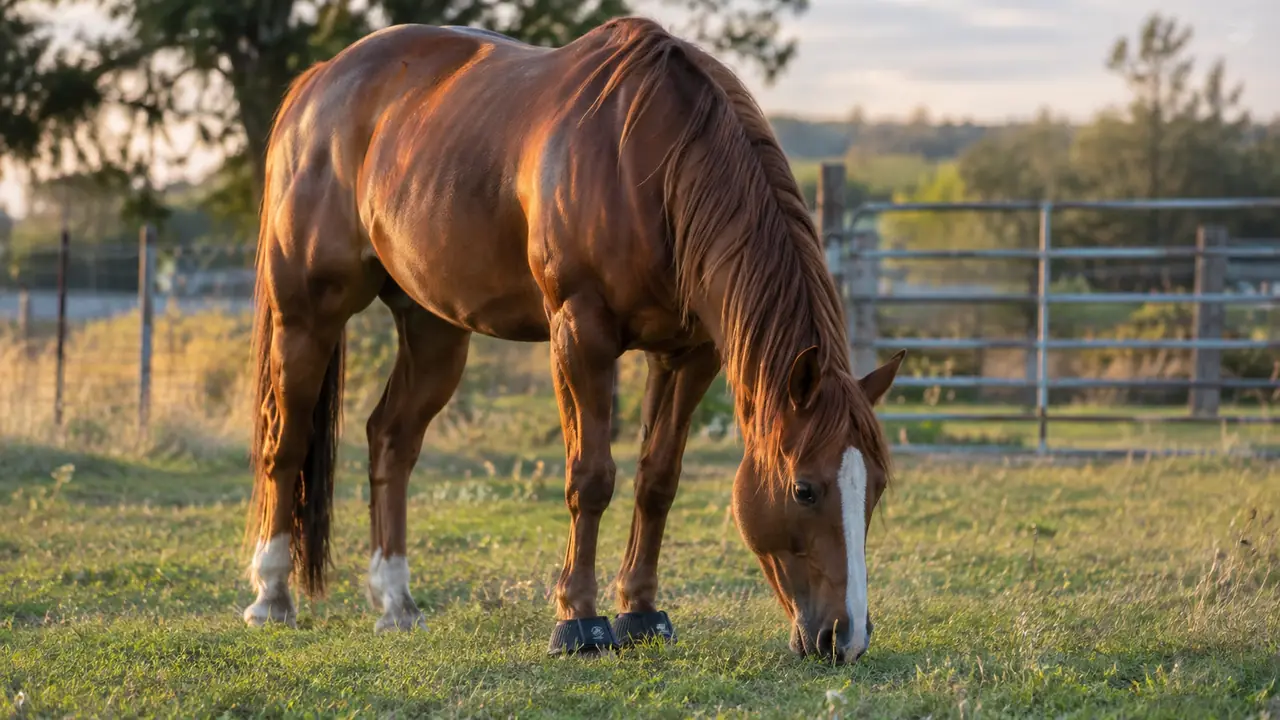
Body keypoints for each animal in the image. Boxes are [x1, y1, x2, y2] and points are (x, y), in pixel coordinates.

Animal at [240, 16, 904, 663]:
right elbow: (591, 478)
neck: (650, 167)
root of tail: (319, 83)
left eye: (874, 486)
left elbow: (658, 479)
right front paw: (578, 620)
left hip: (434, 330)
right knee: (285, 441)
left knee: (391, 440)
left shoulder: (688, 354)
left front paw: (641, 612)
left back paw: (396, 603)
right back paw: (271, 595)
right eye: (804, 490)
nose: (846, 638)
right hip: (307, 315)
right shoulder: (580, 335)